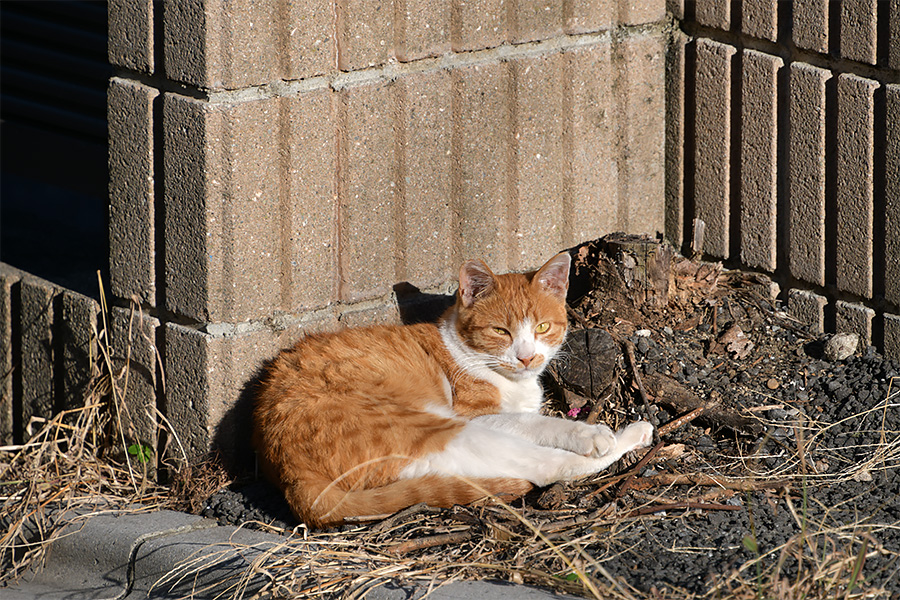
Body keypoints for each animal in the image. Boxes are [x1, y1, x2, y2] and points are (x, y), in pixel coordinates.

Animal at [251, 255, 652, 528]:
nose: (526, 357)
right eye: (501, 331)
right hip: (441, 429)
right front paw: (587, 433)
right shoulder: (479, 415)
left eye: (541, 327)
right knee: (548, 466)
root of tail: (289, 476)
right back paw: (627, 435)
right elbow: (539, 423)